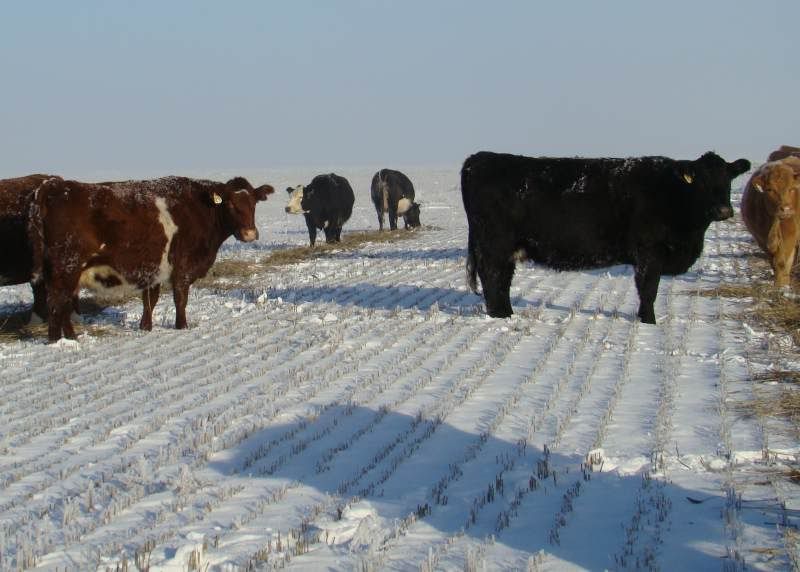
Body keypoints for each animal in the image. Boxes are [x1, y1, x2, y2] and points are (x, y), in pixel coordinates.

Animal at [29, 176, 274, 341]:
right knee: (56, 304)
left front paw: (145, 327)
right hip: (65, 269)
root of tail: (57, 186)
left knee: (63, 305)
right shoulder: (182, 267)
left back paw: (71, 336)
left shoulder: (153, 267)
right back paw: (57, 341)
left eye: (253, 203)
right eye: (231, 204)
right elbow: (180, 299)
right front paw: (182, 326)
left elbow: (150, 300)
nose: (250, 234)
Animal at [461, 151, 751, 324]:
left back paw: (507, 313)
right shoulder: (649, 252)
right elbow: (648, 290)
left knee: (502, 281)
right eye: (700, 181)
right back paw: (500, 316)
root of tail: (479, 158)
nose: (724, 210)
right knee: (493, 277)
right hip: (494, 245)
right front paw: (648, 321)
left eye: (728, 179)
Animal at [741, 156, 800, 287]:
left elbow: (782, 263)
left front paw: (782, 286)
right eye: (770, 189)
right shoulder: (761, 239)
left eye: (792, 188)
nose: (786, 209)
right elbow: (775, 263)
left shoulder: (790, 236)